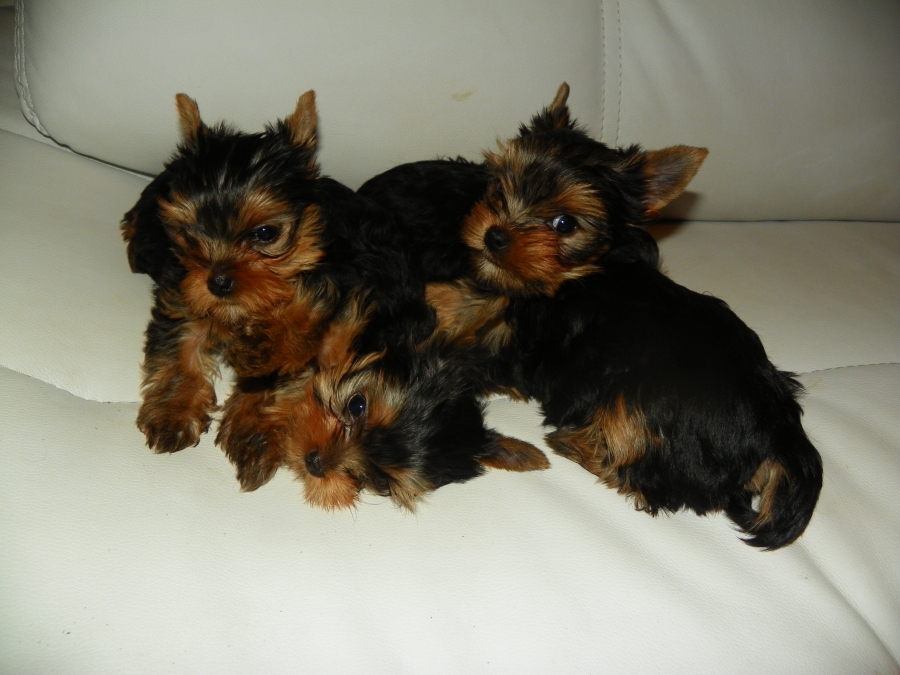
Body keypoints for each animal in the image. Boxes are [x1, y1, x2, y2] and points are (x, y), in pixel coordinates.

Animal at [425, 83, 822, 549]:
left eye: (564, 223)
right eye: (500, 185)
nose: (495, 235)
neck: (585, 271)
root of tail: (782, 436)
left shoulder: (527, 351)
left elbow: (474, 351)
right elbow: (476, 296)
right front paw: (439, 294)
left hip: (637, 400)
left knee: (650, 476)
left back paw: (577, 442)